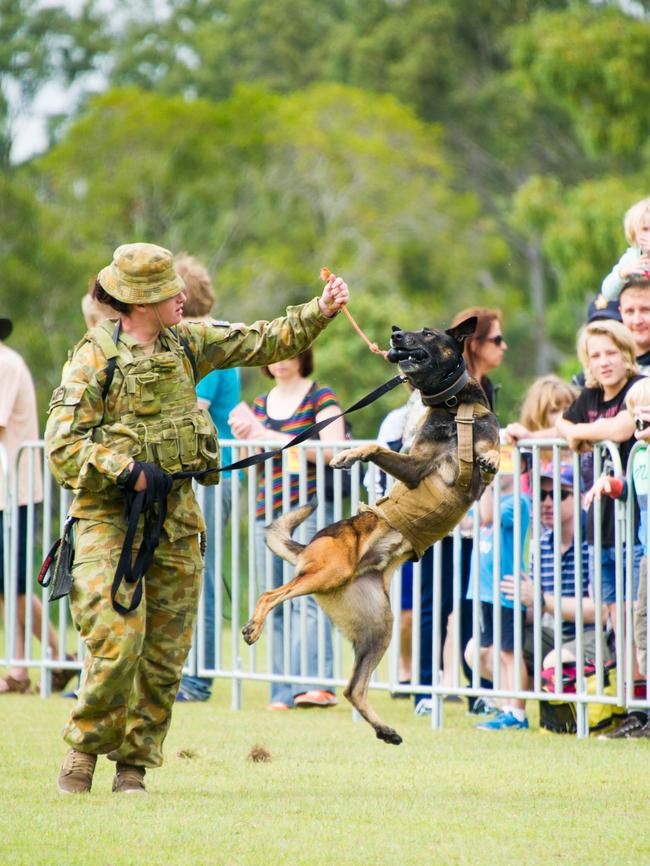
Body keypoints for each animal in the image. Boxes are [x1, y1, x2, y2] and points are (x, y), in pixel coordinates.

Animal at [240, 318, 498, 744]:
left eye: (428, 333)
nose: (395, 333)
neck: (452, 407)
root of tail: (308, 545)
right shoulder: (415, 467)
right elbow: (376, 447)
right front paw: (347, 454)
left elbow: (492, 448)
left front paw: (491, 456)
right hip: (327, 573)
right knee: (269, 594)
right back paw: (253, 627)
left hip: (379, 626)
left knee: (353, 688)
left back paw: (386, 730)